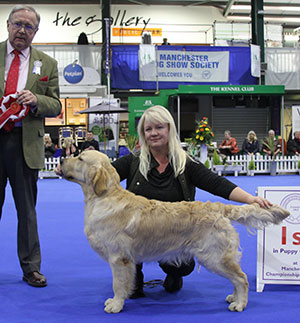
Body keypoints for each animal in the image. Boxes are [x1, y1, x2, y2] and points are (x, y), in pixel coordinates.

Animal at [57, 151, 290, 314]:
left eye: (80, 158)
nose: (60, 160)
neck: (103, 197)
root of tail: (218, 207)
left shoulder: (119, 258)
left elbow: (118, 284)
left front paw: (116, 305)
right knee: (236, 278)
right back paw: (234, 298)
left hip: (214, 257)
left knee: (242, 278)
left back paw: (240, 304)